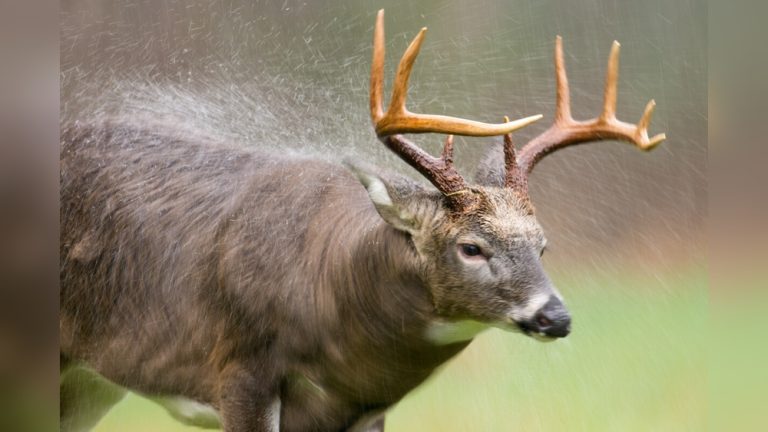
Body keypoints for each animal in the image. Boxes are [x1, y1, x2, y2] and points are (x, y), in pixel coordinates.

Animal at [59, 9, 665, 432]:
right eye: (471, 247)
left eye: (543, 246)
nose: (555, 317)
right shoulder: (239, 370)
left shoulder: (366, 408)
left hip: (93, 380)